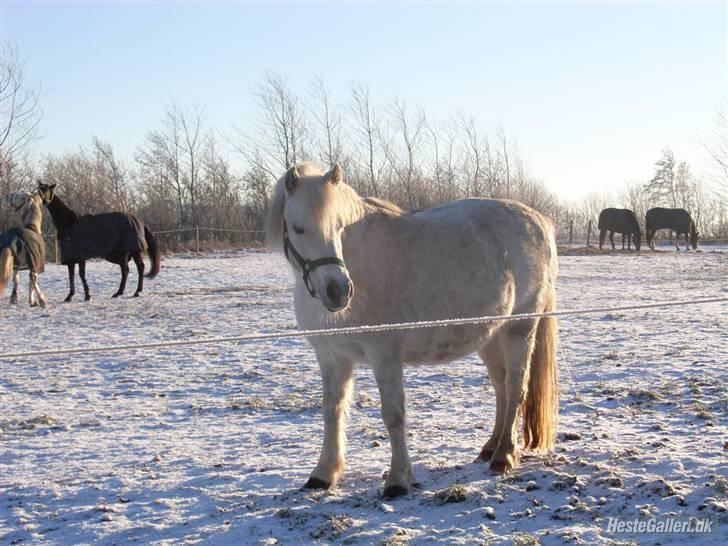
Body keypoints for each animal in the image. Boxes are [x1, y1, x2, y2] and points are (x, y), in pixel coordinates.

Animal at [266, 163, 556, 498]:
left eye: (339, 227)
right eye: (297, 228)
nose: (337, 291)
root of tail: (541, 221)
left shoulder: (385, 356)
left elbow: (393, 415)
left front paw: (397, 479)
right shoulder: (331, 357)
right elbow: (332, 411)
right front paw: (323, 474)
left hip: (518, 330)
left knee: (515, 389)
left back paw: (504, 456)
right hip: (491, 336)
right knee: (501, 386)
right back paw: (490, 448)